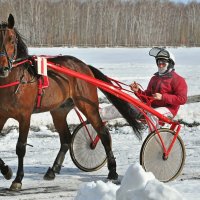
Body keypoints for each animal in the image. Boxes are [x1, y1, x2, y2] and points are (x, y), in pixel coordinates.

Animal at [0, 14, 142, 191]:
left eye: (12, 40)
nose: (3, 68)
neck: (17, 82)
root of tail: (84, 66)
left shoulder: (25, 116)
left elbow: (21, 147)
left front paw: (17, 179)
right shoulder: (2, 115)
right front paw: (6, 171)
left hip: (88, 105)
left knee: (103, 133)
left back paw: (112, 171)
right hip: (59, 110)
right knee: (66, 139)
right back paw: (53, 170)